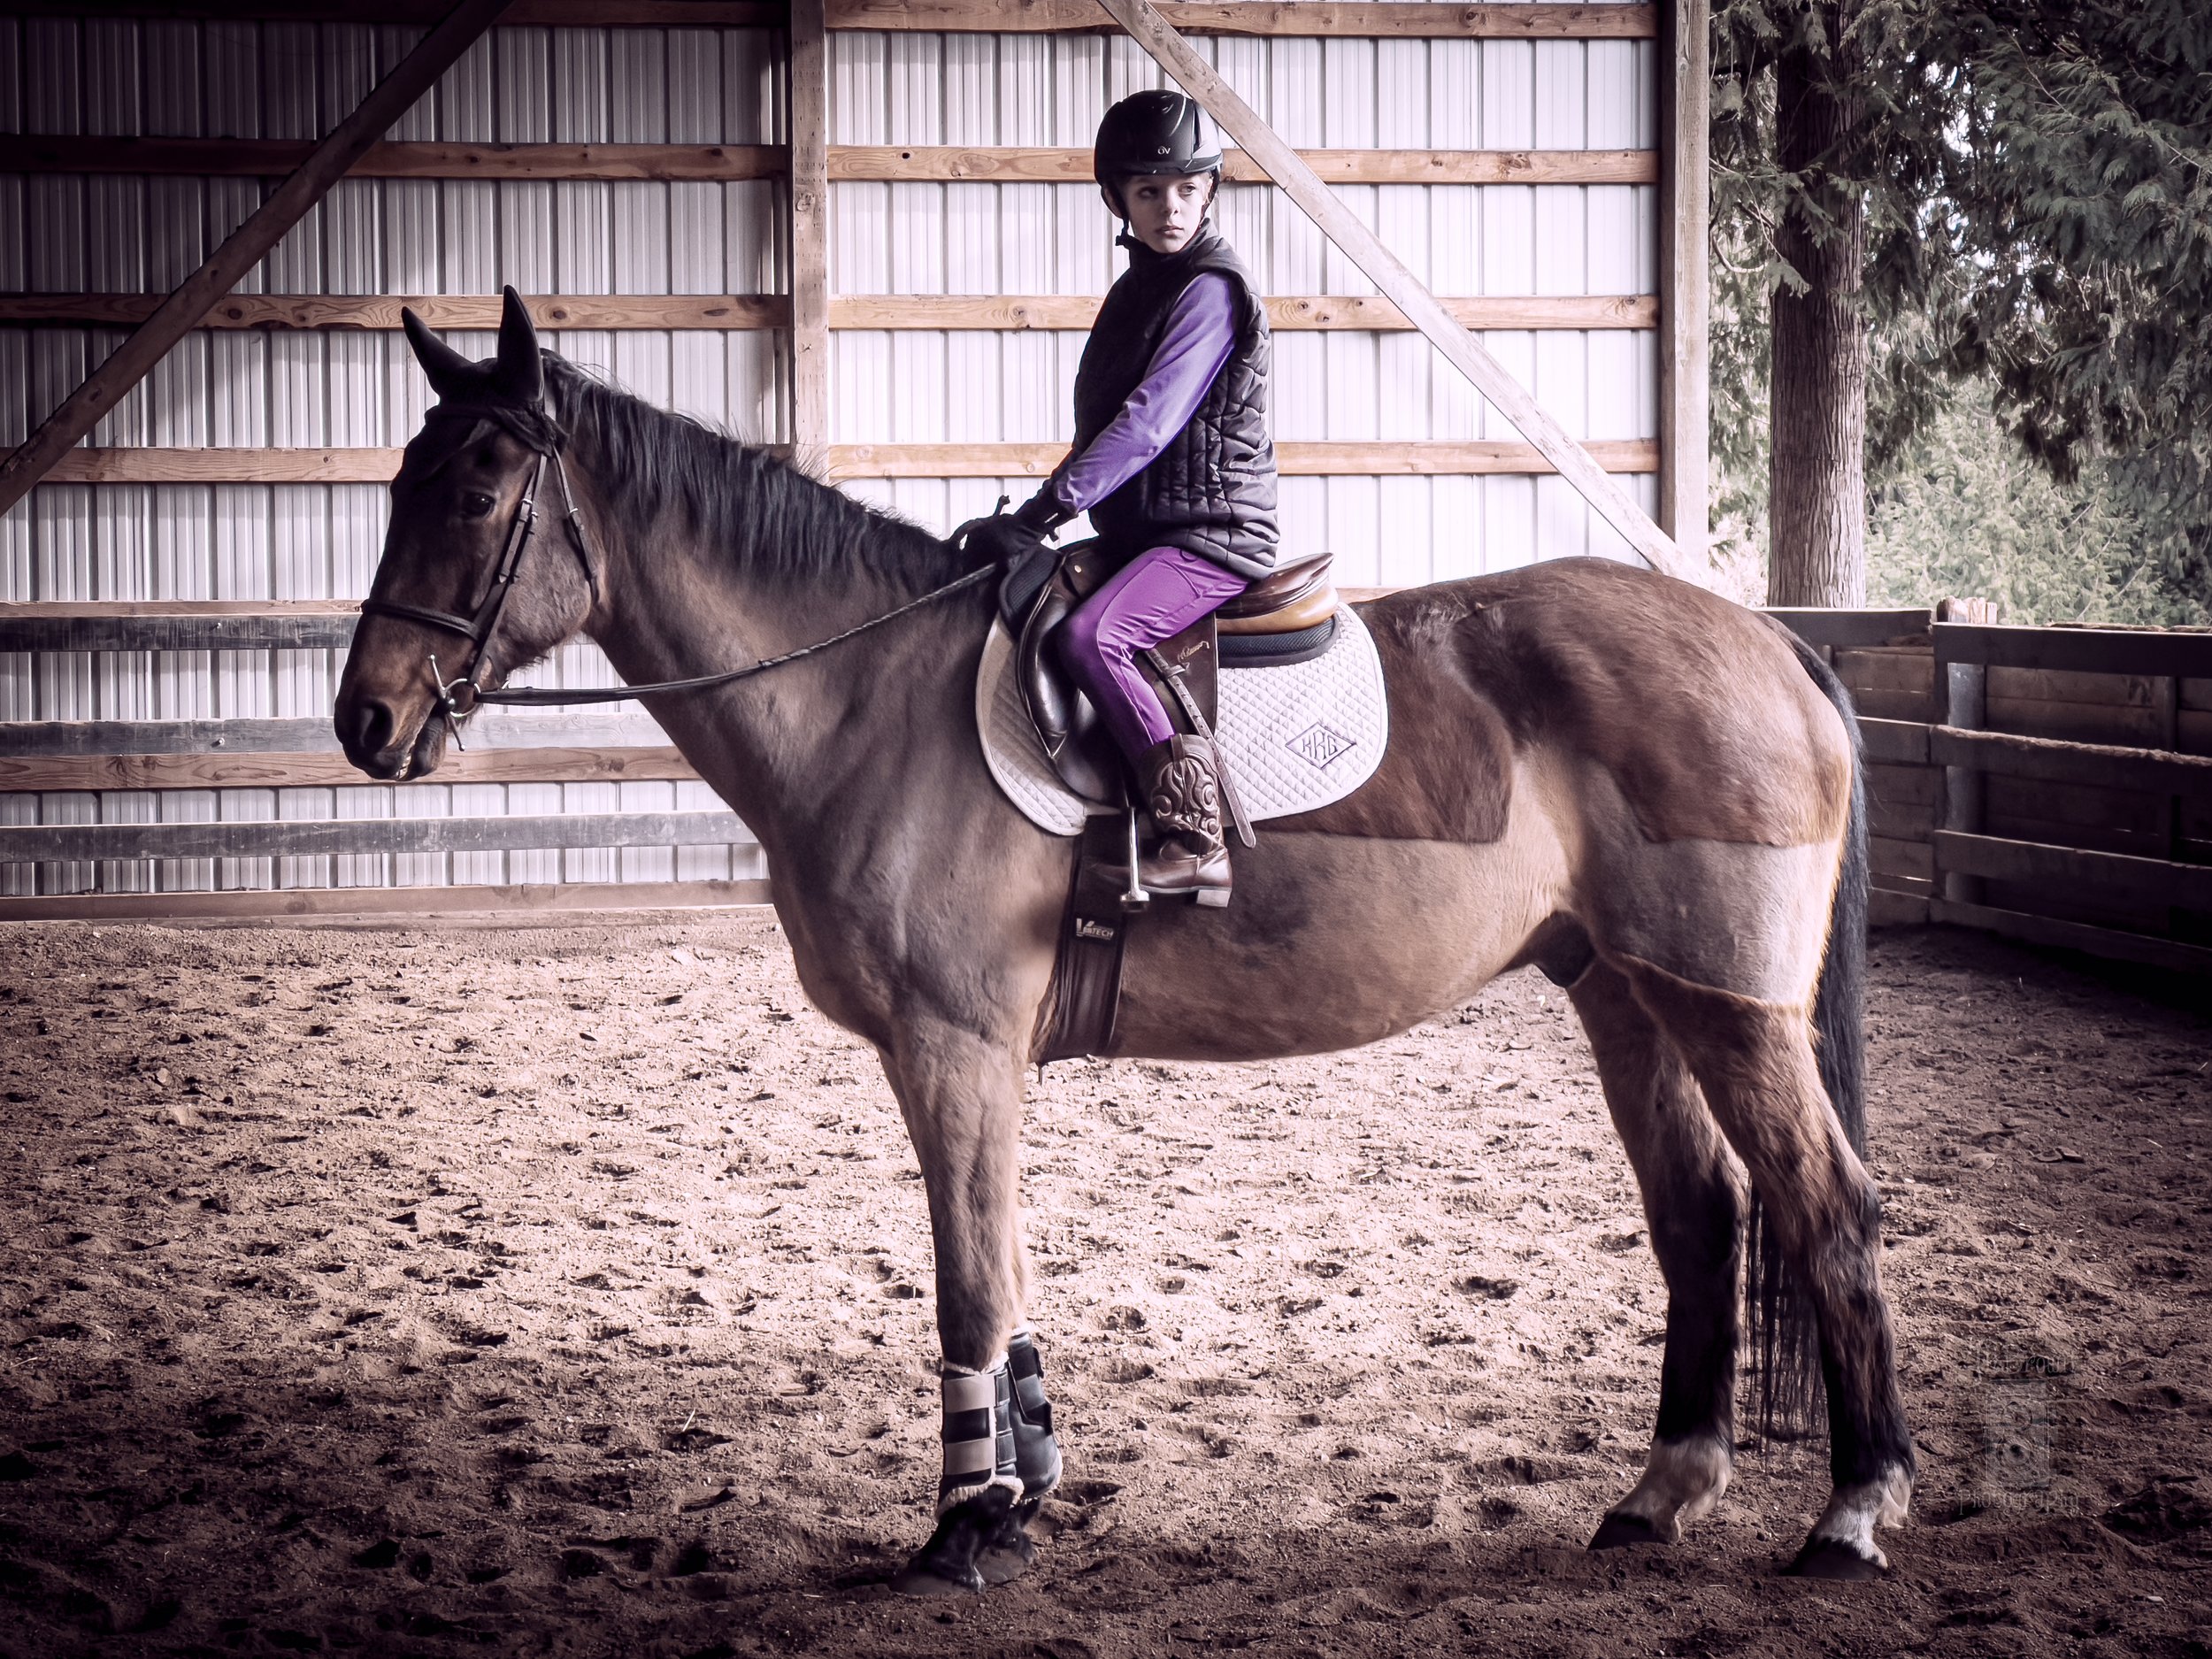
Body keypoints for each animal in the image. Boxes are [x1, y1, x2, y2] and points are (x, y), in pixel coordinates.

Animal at [335, 292, 1913, 1593]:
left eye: (474, 491)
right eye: (402, 482)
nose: (367, 717)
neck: (866, 694)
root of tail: (1770, 640)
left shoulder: (956, 1046)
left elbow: (970, 1278)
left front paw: (968, 1524)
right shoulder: (965, 1061)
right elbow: (1008, 1269)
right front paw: (1021, 1483)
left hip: (1731, 1007)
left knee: (1826, 1206)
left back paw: (1851, 1511)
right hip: (1629, 994)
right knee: (1702, 1212)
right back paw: (1662, 1492)